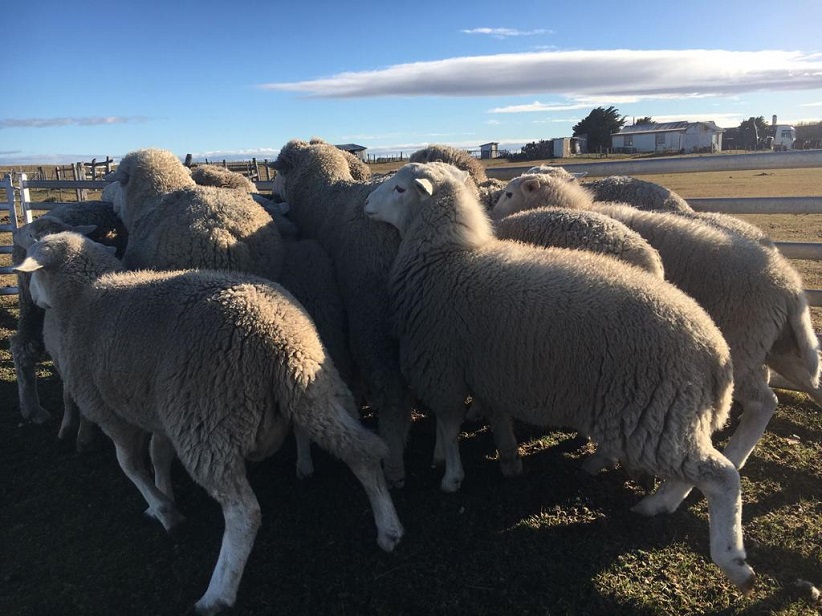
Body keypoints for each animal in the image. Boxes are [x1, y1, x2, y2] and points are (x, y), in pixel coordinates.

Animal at [16, 232, 406, 616]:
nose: (31, 298)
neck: (80, 299)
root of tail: (279, 336)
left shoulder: (108, 410)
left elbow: (130, 465)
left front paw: (163, 511)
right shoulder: (159, 410)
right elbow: (159, 456)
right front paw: (164, 496)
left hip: (206, 419)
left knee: (244, 512)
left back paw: (216, 594)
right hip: (317, 391)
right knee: (362, 453)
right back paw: (389, 529)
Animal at [274, 138, 416, 486]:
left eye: (279, 171)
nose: (273, 194)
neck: (324, 192)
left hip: (372, 317)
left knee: (392, 392)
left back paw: (394, 464)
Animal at [364, 161, 756, 596]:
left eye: (399, 189)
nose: (365, 205)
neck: (445, 259)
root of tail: (716, 351)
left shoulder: (441, 369)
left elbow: (448, 426)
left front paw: (451, 477)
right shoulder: (485, 370)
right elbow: (487, 418)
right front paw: (506, 458)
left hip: (653, 413)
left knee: (722, 476)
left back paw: (734, 562)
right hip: (666, 416)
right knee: (694, 472)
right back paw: (657, 504)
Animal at [492, 171, 820, 470]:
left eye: (509, 193)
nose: (492, 215)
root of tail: (790, 286)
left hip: (740, 346)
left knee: (762, 403)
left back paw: (731, 458)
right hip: (775, 344)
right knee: (809, 377)